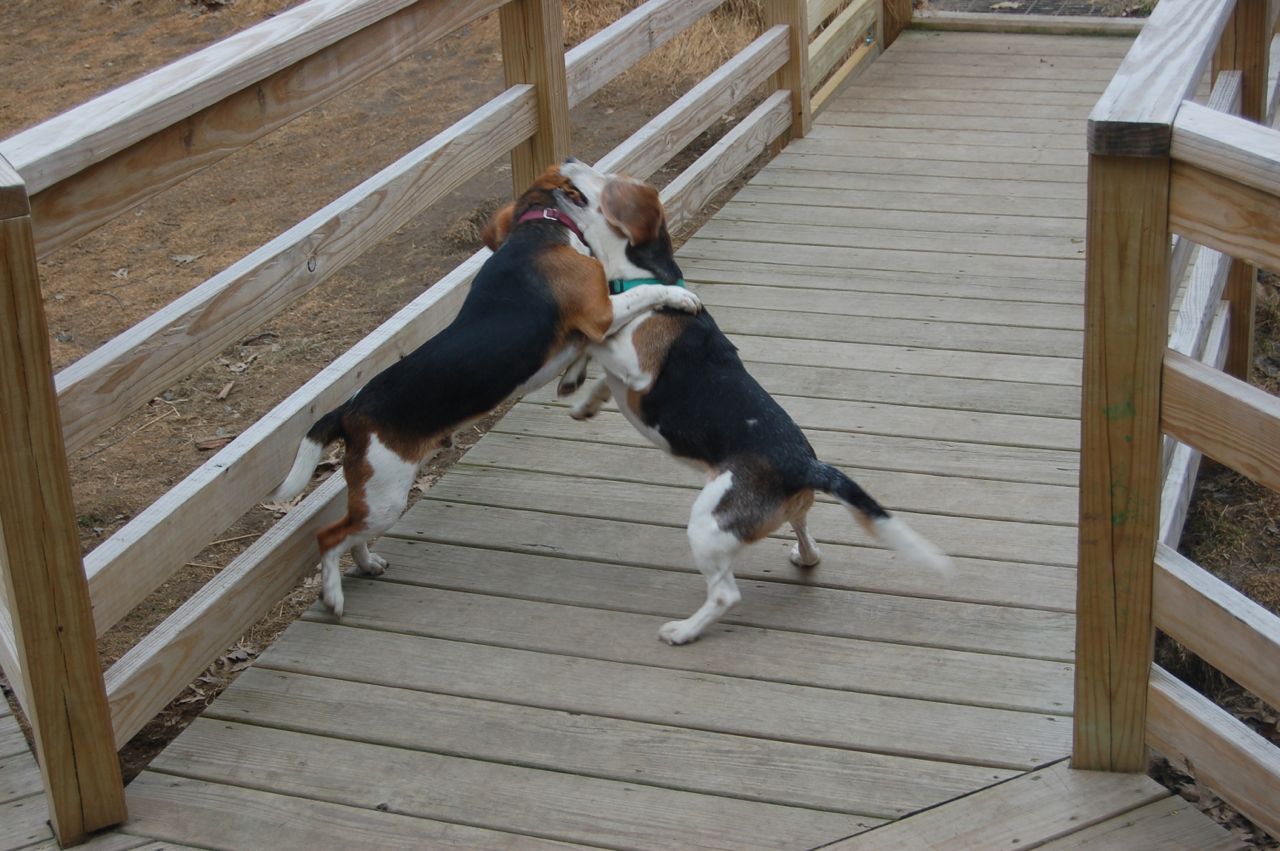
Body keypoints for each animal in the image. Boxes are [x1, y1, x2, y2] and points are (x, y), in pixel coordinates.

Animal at [274, 164, 701, 616]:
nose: (575, 162)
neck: (535, 229)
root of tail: (350, 410)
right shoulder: (600, 311)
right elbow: (644, 291)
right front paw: (680, 295)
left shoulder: (587, 328)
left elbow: (582, 349)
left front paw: (572, 379)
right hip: (385, 493)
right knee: (328, 537)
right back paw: (333, 596)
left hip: (374, 497)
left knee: (351, 536)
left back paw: (368, 563)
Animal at [551, 160, 954, 645]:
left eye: (607, 179)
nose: (568, 161)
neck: (641, 273)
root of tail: (806, 465)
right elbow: (598, 369)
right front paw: (580, 396)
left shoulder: (636, 364)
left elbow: (595, 338)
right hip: (786, 515)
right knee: (810, 545)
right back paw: (801, 557)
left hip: (706, 524)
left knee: (726, 595)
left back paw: (683, 631)